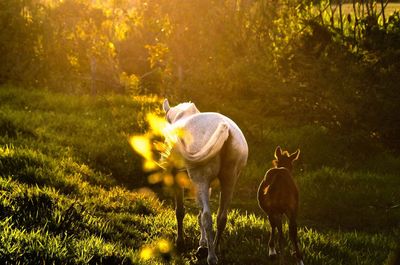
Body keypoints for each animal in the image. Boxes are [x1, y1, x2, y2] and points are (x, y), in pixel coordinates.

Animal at [162, 99, 247, 264]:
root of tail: (226, 129)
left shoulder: (180, 178)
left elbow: (181, 211)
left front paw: (180, 243)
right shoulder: (206, 187)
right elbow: (199, 213)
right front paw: (202, 244)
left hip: (201, 180)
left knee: (208, 216)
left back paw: (211, 257)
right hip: (229, 181)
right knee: (221, 218)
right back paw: (213, 248)